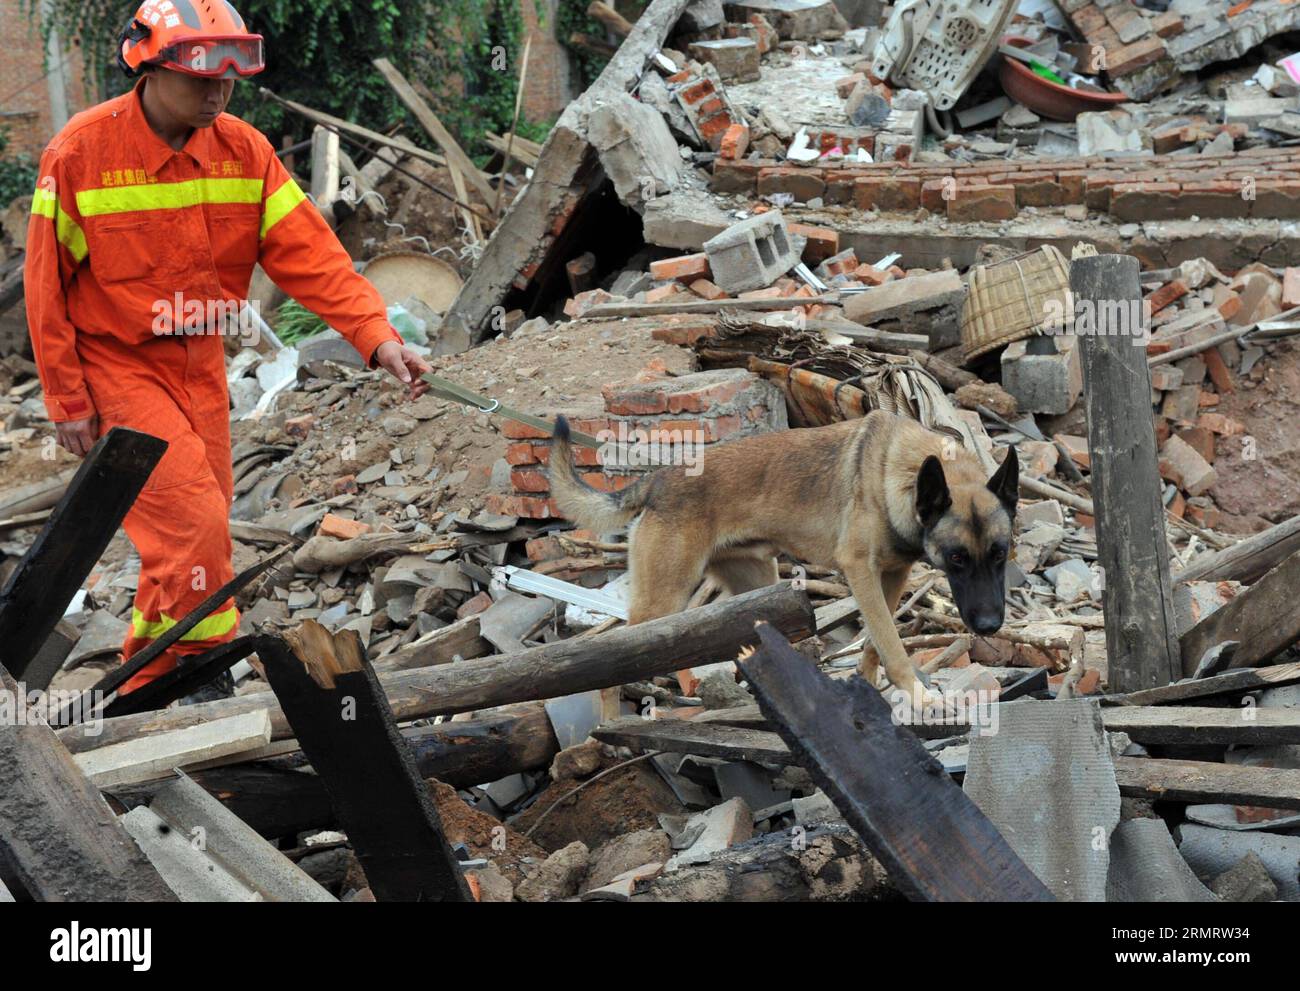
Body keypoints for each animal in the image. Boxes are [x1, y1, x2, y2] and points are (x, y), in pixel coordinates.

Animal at [546, 408, 1013, 702]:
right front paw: (920, 699)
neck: (902, 472)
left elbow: (874, 645)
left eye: (1000, 554)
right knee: (613, 666)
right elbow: (891, 644)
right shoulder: (860, 570)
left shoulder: (893, 575)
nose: (990, 626)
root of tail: (657, 480)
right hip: (663, 599)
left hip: (761, 592)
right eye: (957, 558)